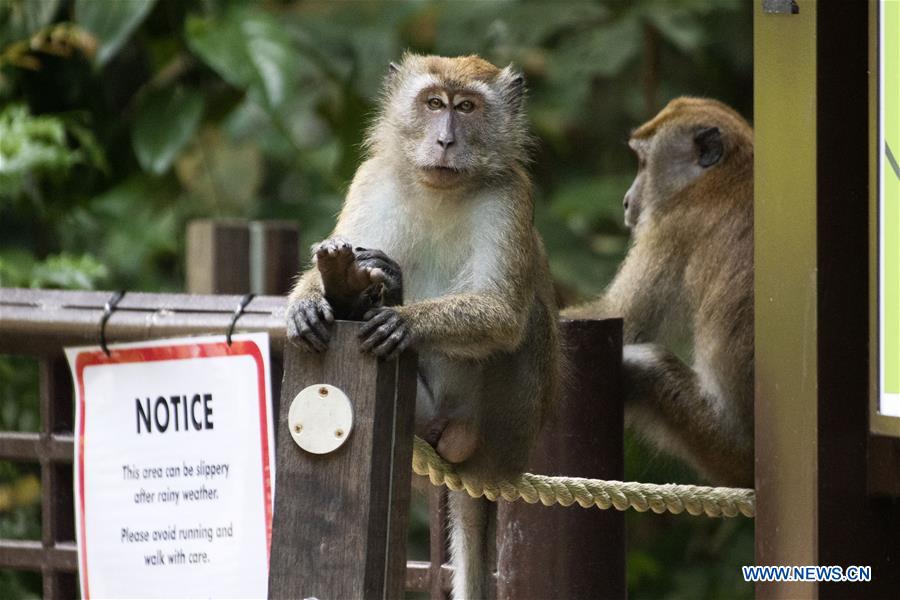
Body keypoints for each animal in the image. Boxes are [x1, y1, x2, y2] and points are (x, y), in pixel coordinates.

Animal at [286, 54, 556, 596]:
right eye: (434, 103)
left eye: (466, 107)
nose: (445, 140)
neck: (439, 189)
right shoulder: (372, 179)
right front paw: (315, 301)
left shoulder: (512, 195)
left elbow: (502, 312)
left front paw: (402, 317)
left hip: (505, 430)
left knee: (531, 319)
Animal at [568, 97, 752, 488]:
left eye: (643, 164)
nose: (626, 201)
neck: (728, 172)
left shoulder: (672, 223)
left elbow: (622, 318)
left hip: (721, 445)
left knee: (644, 367)